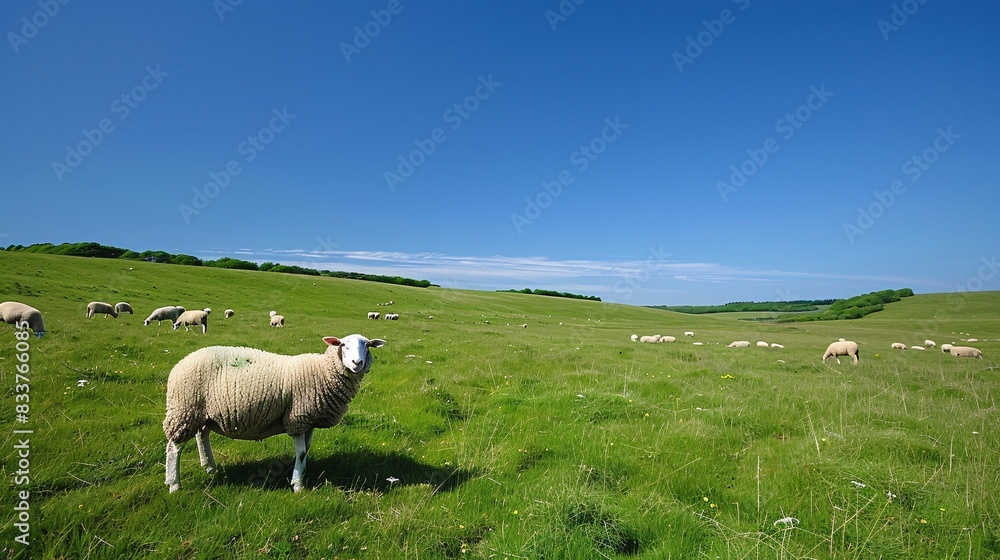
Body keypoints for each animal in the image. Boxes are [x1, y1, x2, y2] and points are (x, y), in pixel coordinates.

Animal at [162, 334, 386, 493]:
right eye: (343, 345)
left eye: (367, 345)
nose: (357, 363)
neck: (322, 371)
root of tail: (180, 363)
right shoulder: (297, 417)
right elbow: (301, 451)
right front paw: (297, 484)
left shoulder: (309, 420)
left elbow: (307, 449)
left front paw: (303, 471)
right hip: (185, 409)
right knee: (174, 448)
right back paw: (174, 484)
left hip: (202, 413)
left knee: (202, 435)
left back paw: (209, 467)